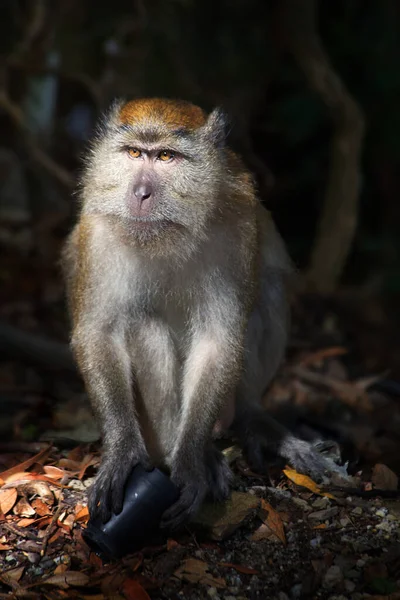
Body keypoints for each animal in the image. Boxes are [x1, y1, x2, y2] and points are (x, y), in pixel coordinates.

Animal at [61, 99, 332, 528]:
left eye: (166, 157)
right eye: (134, 153)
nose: (140, 193)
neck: (167, 232)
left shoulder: (237, 228)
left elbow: (218, 341)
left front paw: (190, 461)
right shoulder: (98, 232)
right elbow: (99, 333)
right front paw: (123, 451)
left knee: (268, 291)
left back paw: (245, 423)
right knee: (145, 326)